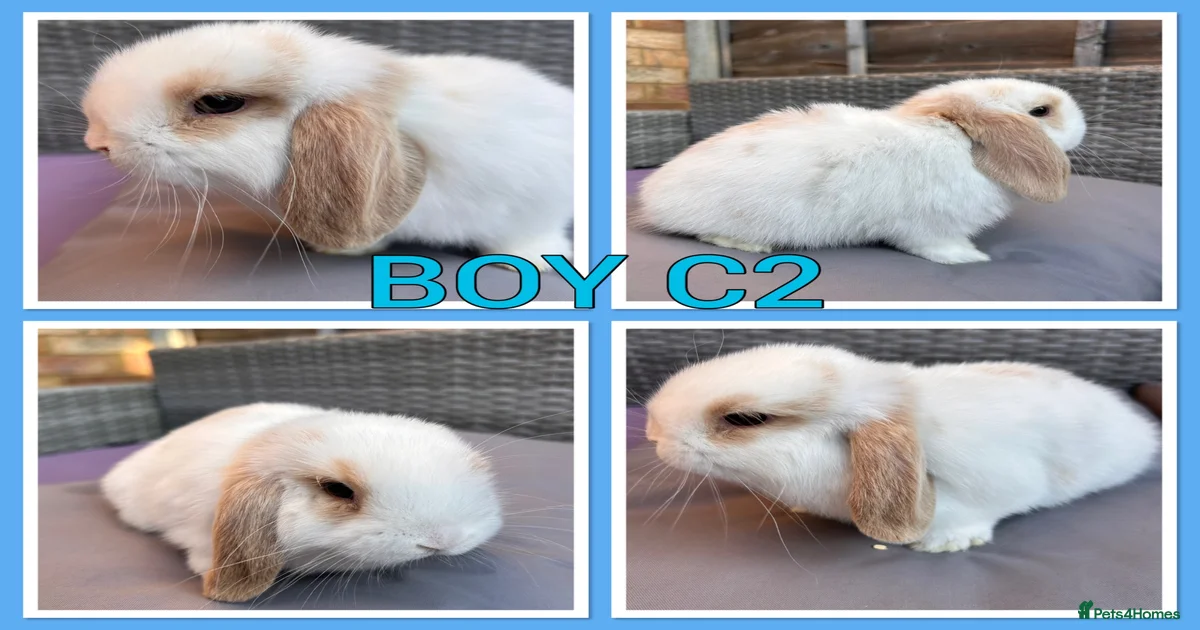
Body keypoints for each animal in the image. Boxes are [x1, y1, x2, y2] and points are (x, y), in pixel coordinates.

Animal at [635, 78, 1086, 264]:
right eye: (1041, 111)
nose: (1082, 124)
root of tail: (651, 197)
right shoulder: (929, 229)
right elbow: (938, 247)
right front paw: (971, 259)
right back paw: (753, 246)